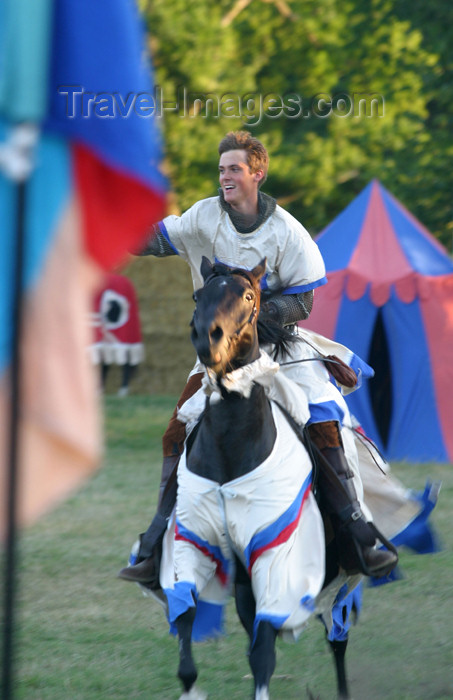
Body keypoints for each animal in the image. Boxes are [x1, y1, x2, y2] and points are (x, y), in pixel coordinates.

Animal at [164, 258, 354, 700]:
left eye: (249, 296)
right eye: (199, 295)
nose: (207, 339)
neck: (232, 447)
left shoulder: (276, 554)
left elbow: (264, 653)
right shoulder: (196, 542)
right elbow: (187, 633)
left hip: (335, 578)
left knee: (336, 637)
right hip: (245, 585)